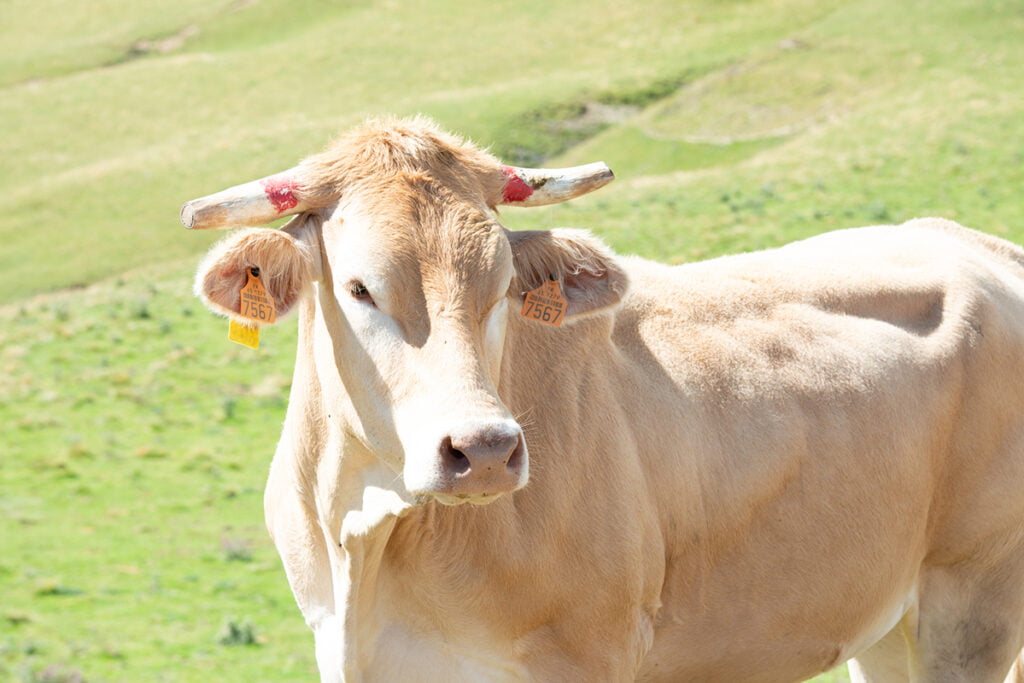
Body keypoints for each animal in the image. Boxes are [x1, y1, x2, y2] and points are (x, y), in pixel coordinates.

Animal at [184, 114, 1024, 679]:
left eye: (500, 284)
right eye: (359, 287)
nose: (482, 450)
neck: (371, 531)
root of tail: (971, 244)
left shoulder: (586, 651)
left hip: (974, 601)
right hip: (887, 621)